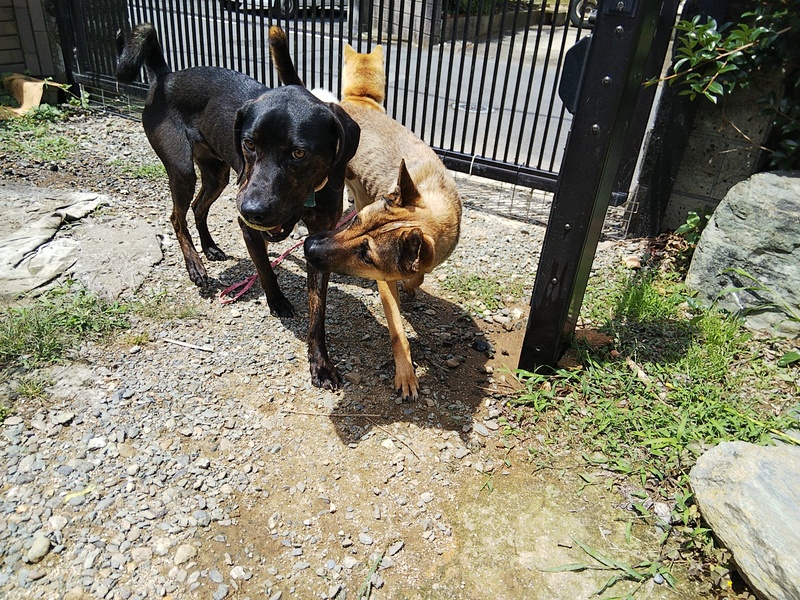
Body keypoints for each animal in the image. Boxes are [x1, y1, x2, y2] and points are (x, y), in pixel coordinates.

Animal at [116, 23, 360, 390]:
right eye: (249, 144)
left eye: (298, 153)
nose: (252, 210)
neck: (304, 199)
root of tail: (165, 75)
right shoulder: (249, 225)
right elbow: (264, 268)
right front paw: (277, 302)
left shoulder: (319, 240)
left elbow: (318, 312)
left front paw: (321, 363)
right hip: (183, 169)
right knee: (177, 216)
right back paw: (195, 266)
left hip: (217, 174)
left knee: (199, 207)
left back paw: (210, 247)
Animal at [269, 27, 462, 401]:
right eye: (357, 224)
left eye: (367, 255)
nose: (310, 248)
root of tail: (353, 103)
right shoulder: (385, 281)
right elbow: (398, 330)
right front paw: (406, 374)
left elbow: (418, 275)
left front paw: (414, 283)